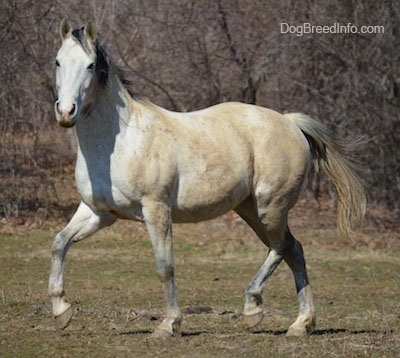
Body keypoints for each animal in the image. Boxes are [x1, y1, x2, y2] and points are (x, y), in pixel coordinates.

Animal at [50, 18, 366, 338]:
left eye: (90, 65)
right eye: (58, 61)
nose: (66, 112)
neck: (121, 142)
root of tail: (289, 122)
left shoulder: (156, 210)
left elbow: (165, 266)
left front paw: (169, 324)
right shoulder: (99, 212)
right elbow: (60, 242)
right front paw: (62, 312)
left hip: (271, 208)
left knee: (282, 247)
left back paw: (254, 310)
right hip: (251, 210)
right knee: (294, 250)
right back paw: (301, 324)